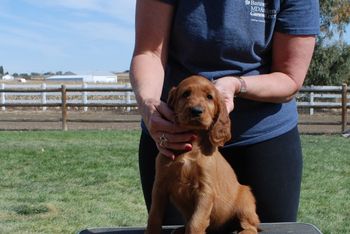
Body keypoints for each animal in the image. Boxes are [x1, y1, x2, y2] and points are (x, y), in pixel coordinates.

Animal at [146, 76, 260, 233]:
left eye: (209, 97)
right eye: (186, 94)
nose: (196, 110)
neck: (192, 146)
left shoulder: (205, 190)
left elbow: (196, 222)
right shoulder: (160, 186)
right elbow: (154, 216)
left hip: (246, 198)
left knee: (251, 224)